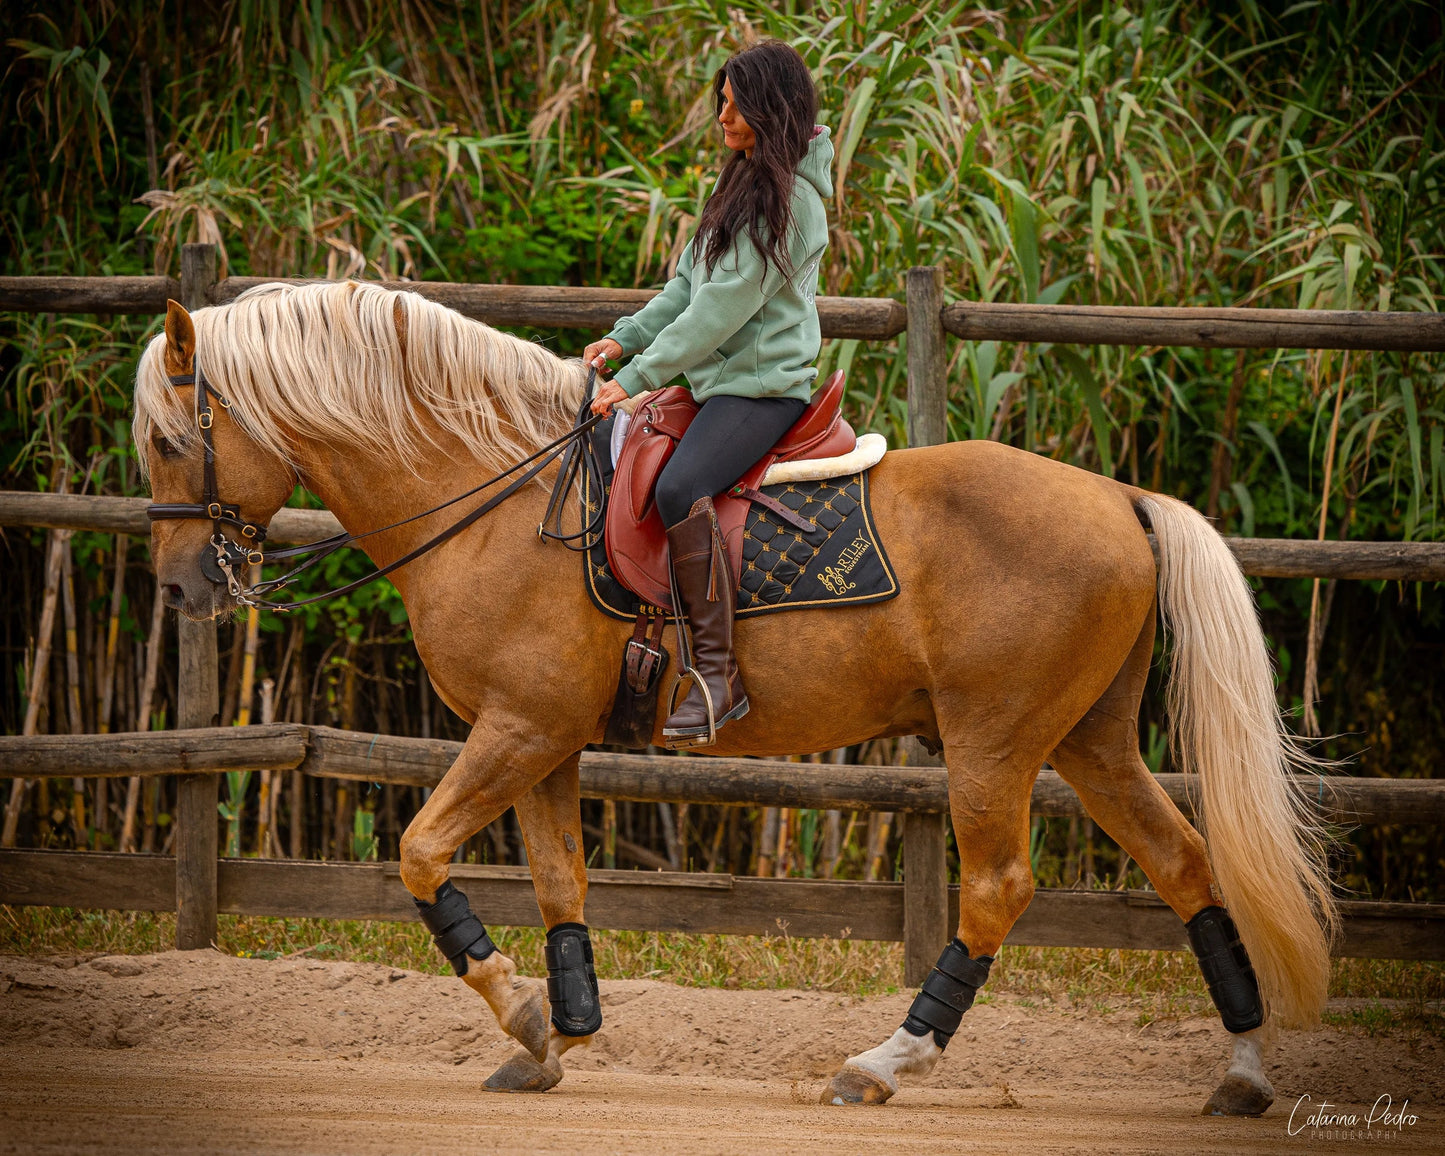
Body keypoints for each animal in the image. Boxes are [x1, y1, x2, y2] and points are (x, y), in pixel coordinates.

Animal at [140, 281, 1335, 1121]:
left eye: (165, 437)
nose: (182, 586)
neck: (497, 494)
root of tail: (1119, 496)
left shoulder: (517, 728)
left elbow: (423, 853)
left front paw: (523, 1013)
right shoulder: (546, 741)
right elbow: (559, 881)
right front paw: (558, 1034)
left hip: (992, 741)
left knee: (998, 888)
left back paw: (882, 1062)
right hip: (1088, 741)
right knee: (1184, 864)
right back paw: (1239, 1074)